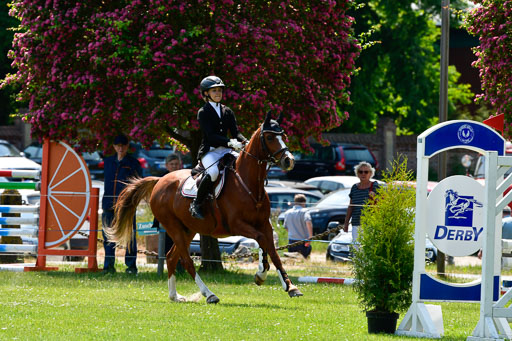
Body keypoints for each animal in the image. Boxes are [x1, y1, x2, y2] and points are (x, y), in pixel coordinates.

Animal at [108, 112, 300, 302]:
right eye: (269, 137)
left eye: (283, 136)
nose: (288, 161)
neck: (249, 184)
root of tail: (160, 180)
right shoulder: (237, 225)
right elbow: (261, 240)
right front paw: (261, 273)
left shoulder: (264, 224)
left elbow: (273, 251)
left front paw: (290, 287)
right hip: (173, 227)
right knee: (186, 261)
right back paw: (209, 294)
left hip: (188, 229)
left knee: (171, 257)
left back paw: (175, 296)